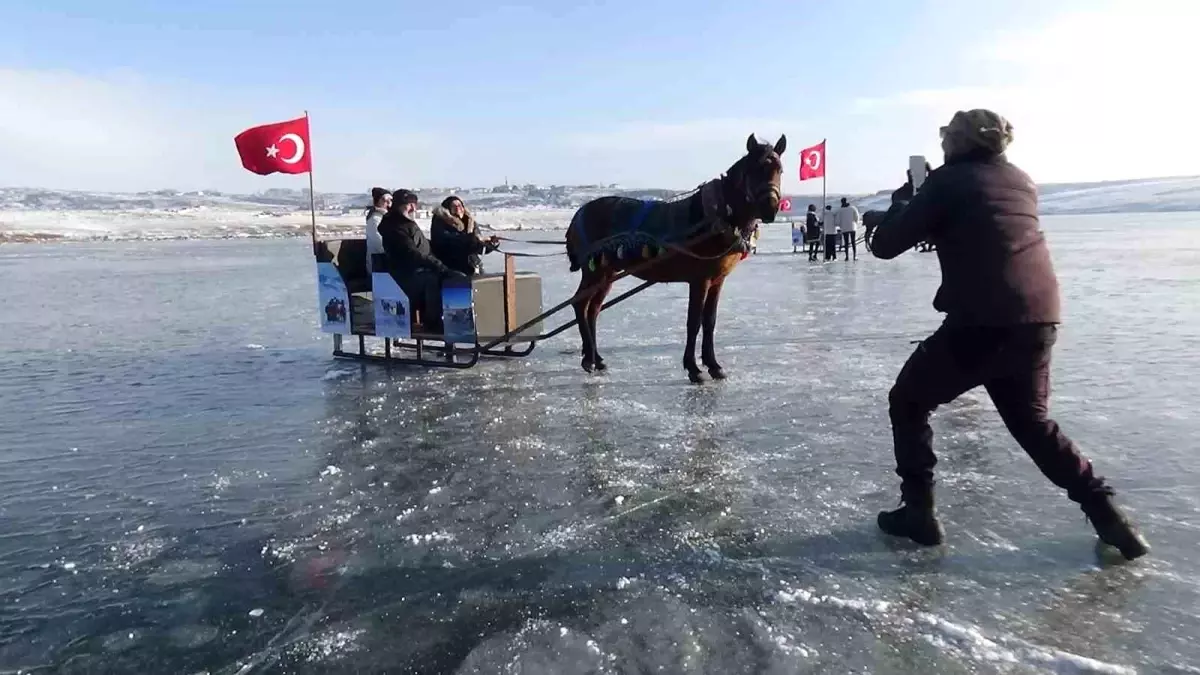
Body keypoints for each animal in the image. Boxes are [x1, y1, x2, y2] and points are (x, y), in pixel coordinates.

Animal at [564, 132, 787, 384]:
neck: (717, 217)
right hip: (593, 271)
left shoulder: (717, 279)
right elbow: (694, 322)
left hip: (607, 272)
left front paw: (713, 365)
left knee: (593, 309)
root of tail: (578, 214)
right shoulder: (700, 279)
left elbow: (709, 321)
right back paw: (588, 359)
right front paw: (693, 367)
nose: (770, 208)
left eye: (780, 169)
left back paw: (597, 357)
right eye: (754, 169)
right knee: (580, 304)